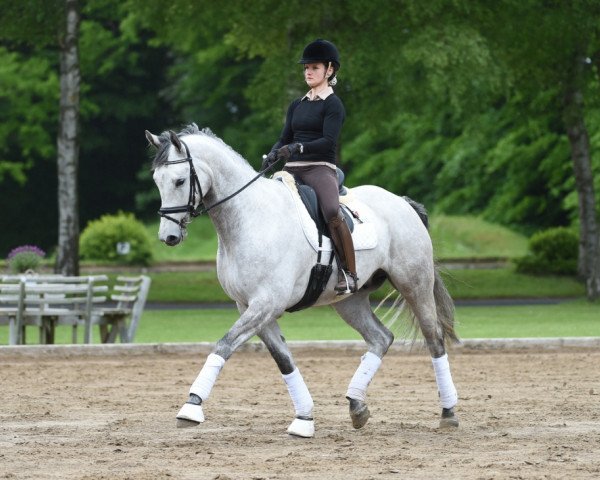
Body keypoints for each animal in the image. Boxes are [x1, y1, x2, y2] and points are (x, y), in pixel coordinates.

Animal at [145, 122, 460, 436]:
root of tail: (402, 202)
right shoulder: (248, 306)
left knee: (434, 338)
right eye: (157, 181)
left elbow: (224, 344)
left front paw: (192, 406)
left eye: (179, 181)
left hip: (414, 283)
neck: (249, 218)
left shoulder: (266, 303)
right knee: (381, 338)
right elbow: (283, 359)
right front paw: (304, 418)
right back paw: (357, 406)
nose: (168, 237)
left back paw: (448, 413)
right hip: (350, 300)